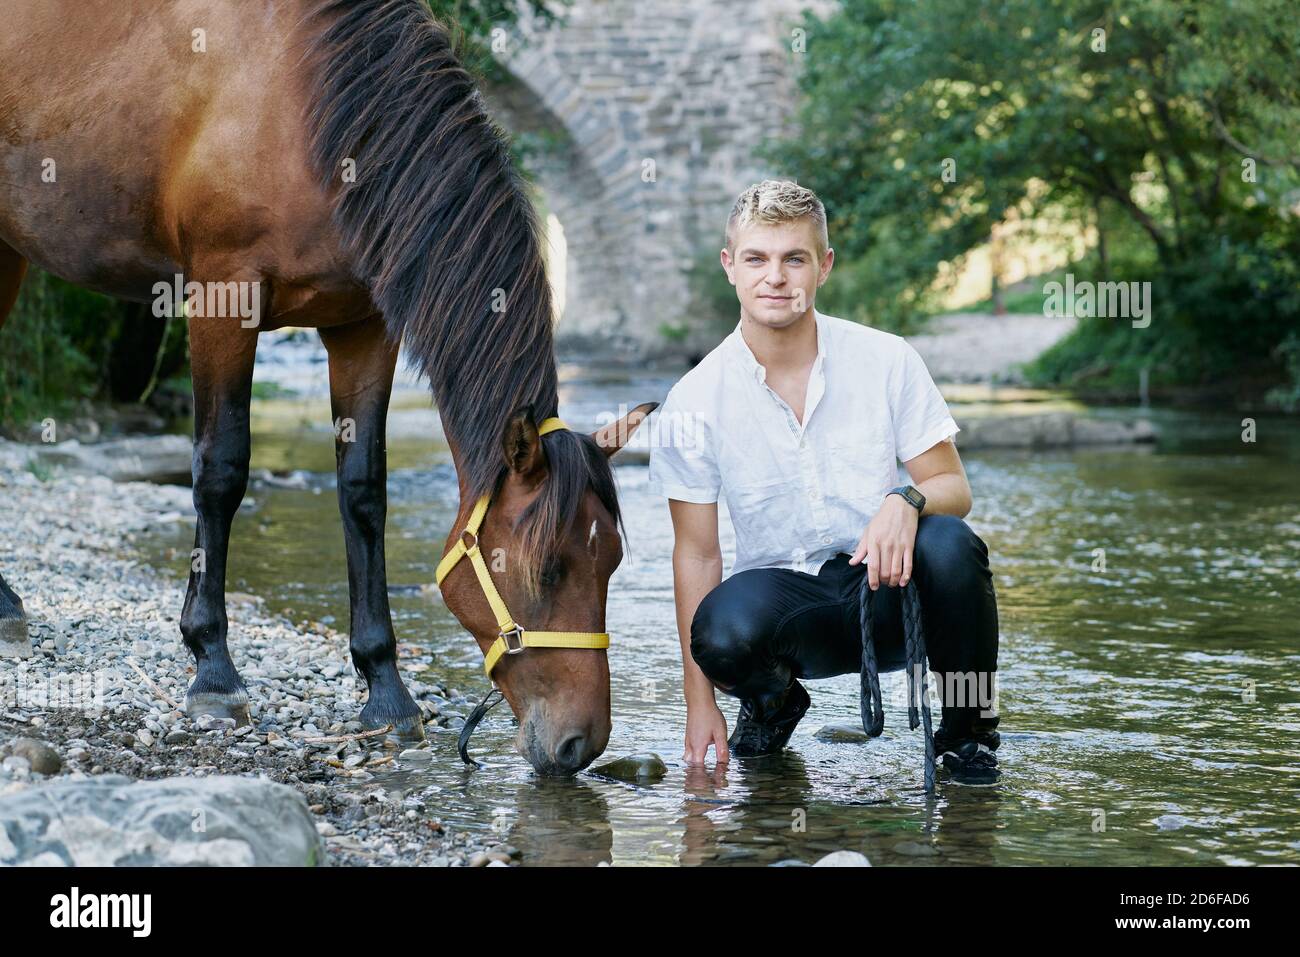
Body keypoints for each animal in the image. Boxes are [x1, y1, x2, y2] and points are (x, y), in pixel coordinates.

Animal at [0, 0, 654, 775]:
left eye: (612, 562)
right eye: (549, 570)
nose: (580, 743)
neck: (305, 100)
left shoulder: (363, 325)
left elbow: (363, 489)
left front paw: (386, 688)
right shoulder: (223, 297)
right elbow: (220, 470)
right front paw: (213, 669)